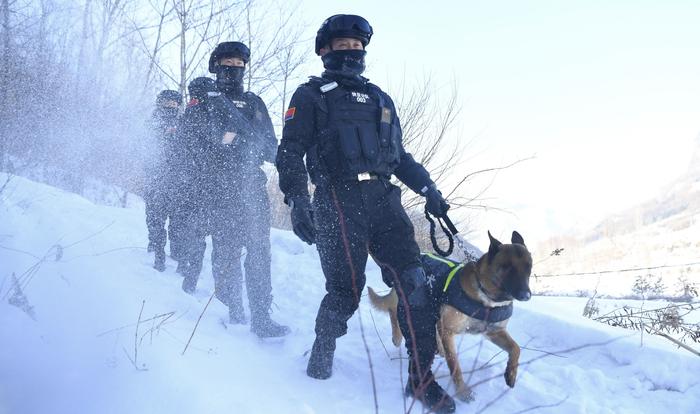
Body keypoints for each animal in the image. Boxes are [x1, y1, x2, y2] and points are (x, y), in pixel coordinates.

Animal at [370, 230, 532, 402]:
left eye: (529, 267)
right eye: (508, 267)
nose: (527, 295)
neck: (486, 298)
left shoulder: (494, 332)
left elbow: (516, 348)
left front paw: (511, 374)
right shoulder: (449, 331)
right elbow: (455, 365)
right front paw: (462, 392)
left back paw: (438, 347)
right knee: (393, 310)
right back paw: (397, 336)